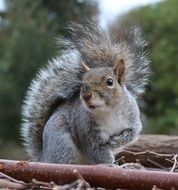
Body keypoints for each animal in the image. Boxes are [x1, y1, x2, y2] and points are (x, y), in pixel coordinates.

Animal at [20, 19, 149, 165]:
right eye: (82, 83)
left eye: (110, 82)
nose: (86, 95)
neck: (109, 111)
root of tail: (43, 158)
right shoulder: (87, 133)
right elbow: (98, 153)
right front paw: (113, 166)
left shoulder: (132, 117)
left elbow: (134, 132)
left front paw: (120, 141)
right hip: (62, 144)